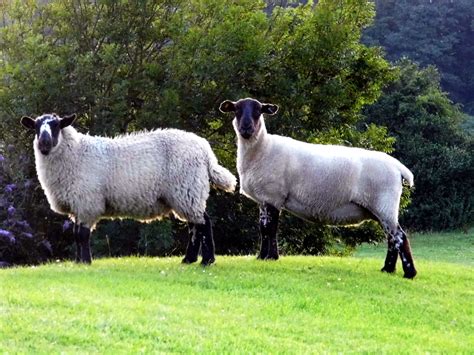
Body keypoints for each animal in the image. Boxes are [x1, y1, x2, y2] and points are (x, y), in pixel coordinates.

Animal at [21, 112, 236, 266]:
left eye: (56, 126)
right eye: (36, 127)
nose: (44, 143)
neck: (75, 153)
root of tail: (205, 151)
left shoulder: (87, 202)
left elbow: (82, 235)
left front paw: (86, 262)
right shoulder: (78, 205)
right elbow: (75, 234)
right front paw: (78, 262)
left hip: (188, 189)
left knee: (203, 224)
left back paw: (207, 261)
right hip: (185, 193)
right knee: (194, 225)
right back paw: (188, 260)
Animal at [220, 98, 416, 280]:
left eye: (258, 111)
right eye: (237, 109)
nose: (246, 128)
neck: (262, 149)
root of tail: (398, 168)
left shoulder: (273, 196)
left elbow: (270, 229)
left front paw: (271, 257)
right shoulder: (264, 199)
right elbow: (263, 229)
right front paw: (262, 257)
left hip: (384, 204)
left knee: (399, 236)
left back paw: (409, 272)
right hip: (379, 208)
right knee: (391, 238)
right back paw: (387, 270)